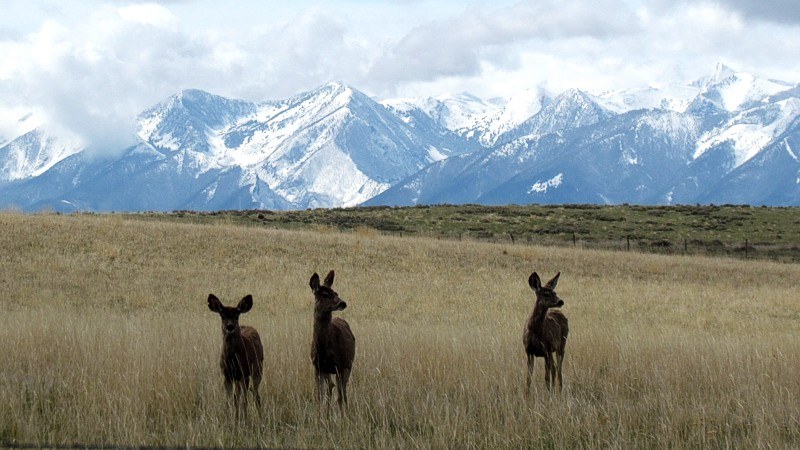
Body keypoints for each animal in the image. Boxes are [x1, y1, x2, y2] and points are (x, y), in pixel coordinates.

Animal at [308, 268, 354, 414]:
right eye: (324, 294)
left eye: (336, 293)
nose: (342, 303)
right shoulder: (317, 366)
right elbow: (320, 395)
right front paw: (320, 416)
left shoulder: (339, 364)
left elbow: (338, 395)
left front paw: (341, 415)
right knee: (333, 388)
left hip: (348, 364)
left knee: (342, 391)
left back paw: (346, 411)